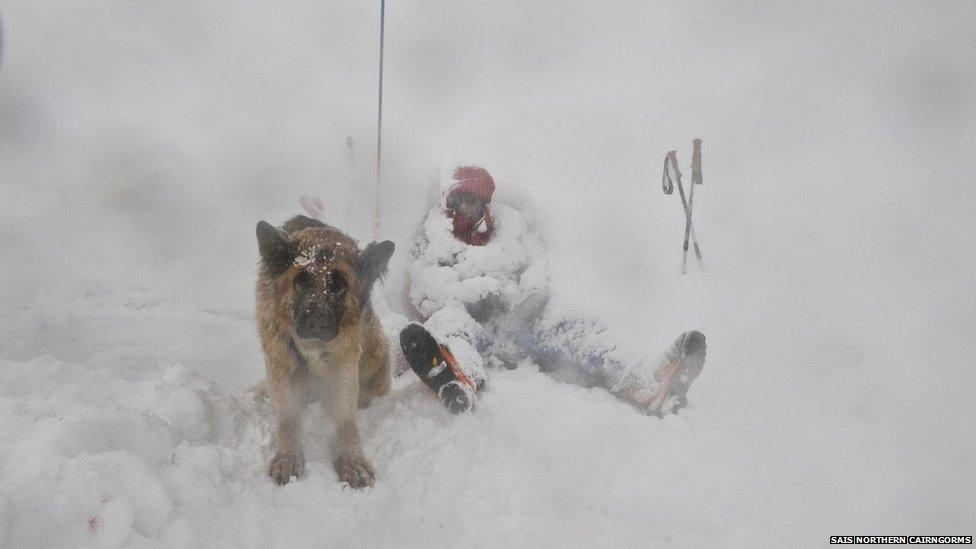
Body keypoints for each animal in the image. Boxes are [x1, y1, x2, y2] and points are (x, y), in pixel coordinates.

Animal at [258, 216, 398, 486]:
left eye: (338, 285)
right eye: (301, 280)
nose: (316, 320)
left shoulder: (344, 366)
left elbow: (345, 420)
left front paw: (352, 460)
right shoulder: (281, 363)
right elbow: (288, 417)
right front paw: (289, 457)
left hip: (376, 348)